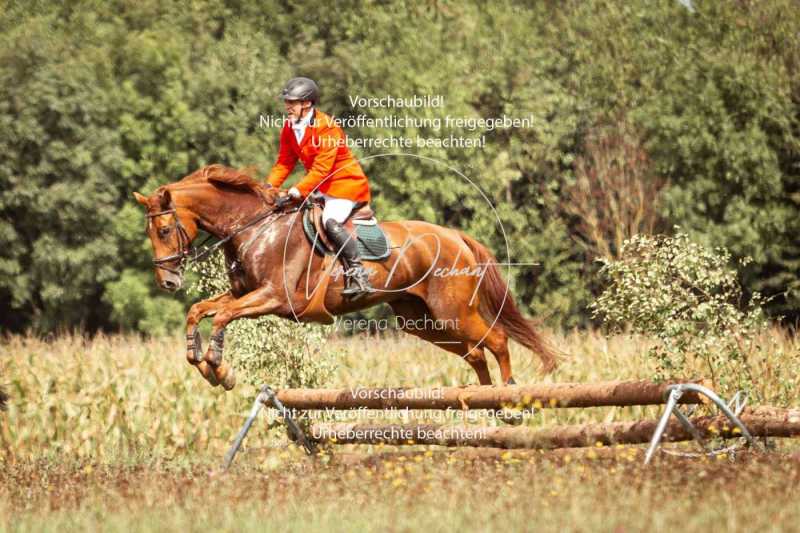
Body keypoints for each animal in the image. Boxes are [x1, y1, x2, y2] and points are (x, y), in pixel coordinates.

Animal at [134, 164, 556, 388]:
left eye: (165, 230)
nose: (168, 283)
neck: (254, 227)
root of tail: (456, 236)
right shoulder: (243, 294)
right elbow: (199, 310)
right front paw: (199, 360)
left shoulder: (272, 297)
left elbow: (221, 316)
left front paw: (219, 368)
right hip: (421, 320)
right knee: (475, 351)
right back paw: (488, 402)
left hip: (452, 310)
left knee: (496, 340)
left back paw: (507, 396)